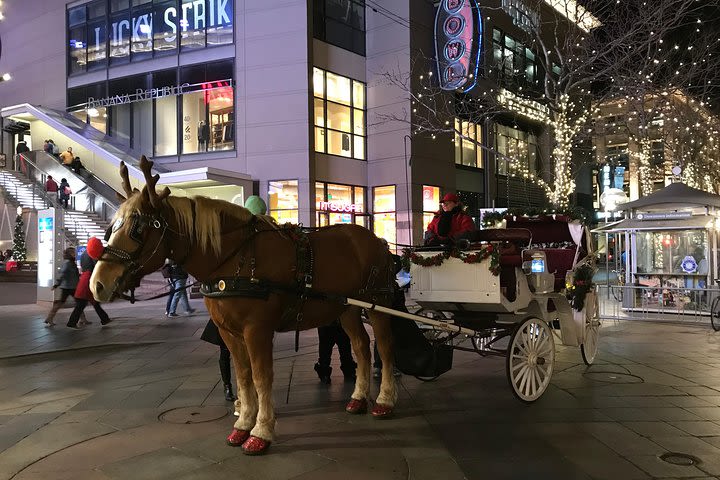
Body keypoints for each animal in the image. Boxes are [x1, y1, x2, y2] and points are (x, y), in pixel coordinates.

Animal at [89, 158, 400, 454]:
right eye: (112, 227)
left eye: (137, 228)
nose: (97, 285)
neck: (233, 259)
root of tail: (377, 240)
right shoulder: (229, 332)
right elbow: (243, 375)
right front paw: (243, 424)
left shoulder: (257, 330)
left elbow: (262, 377)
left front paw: (261, 432)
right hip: (347, 308)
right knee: (361, 346)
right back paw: (358, 398)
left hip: (378, 302)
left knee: (384, 348)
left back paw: (384, 400)